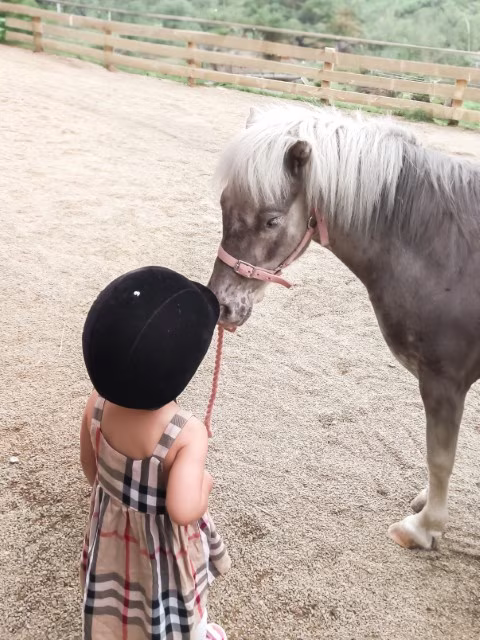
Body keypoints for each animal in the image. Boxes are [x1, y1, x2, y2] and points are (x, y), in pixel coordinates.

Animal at [207, 103, 480, 550]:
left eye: (271, 220)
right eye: (223, 203)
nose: (223, 306)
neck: (447, 250)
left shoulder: (445, 379)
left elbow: (439, 455)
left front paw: (424, 527)